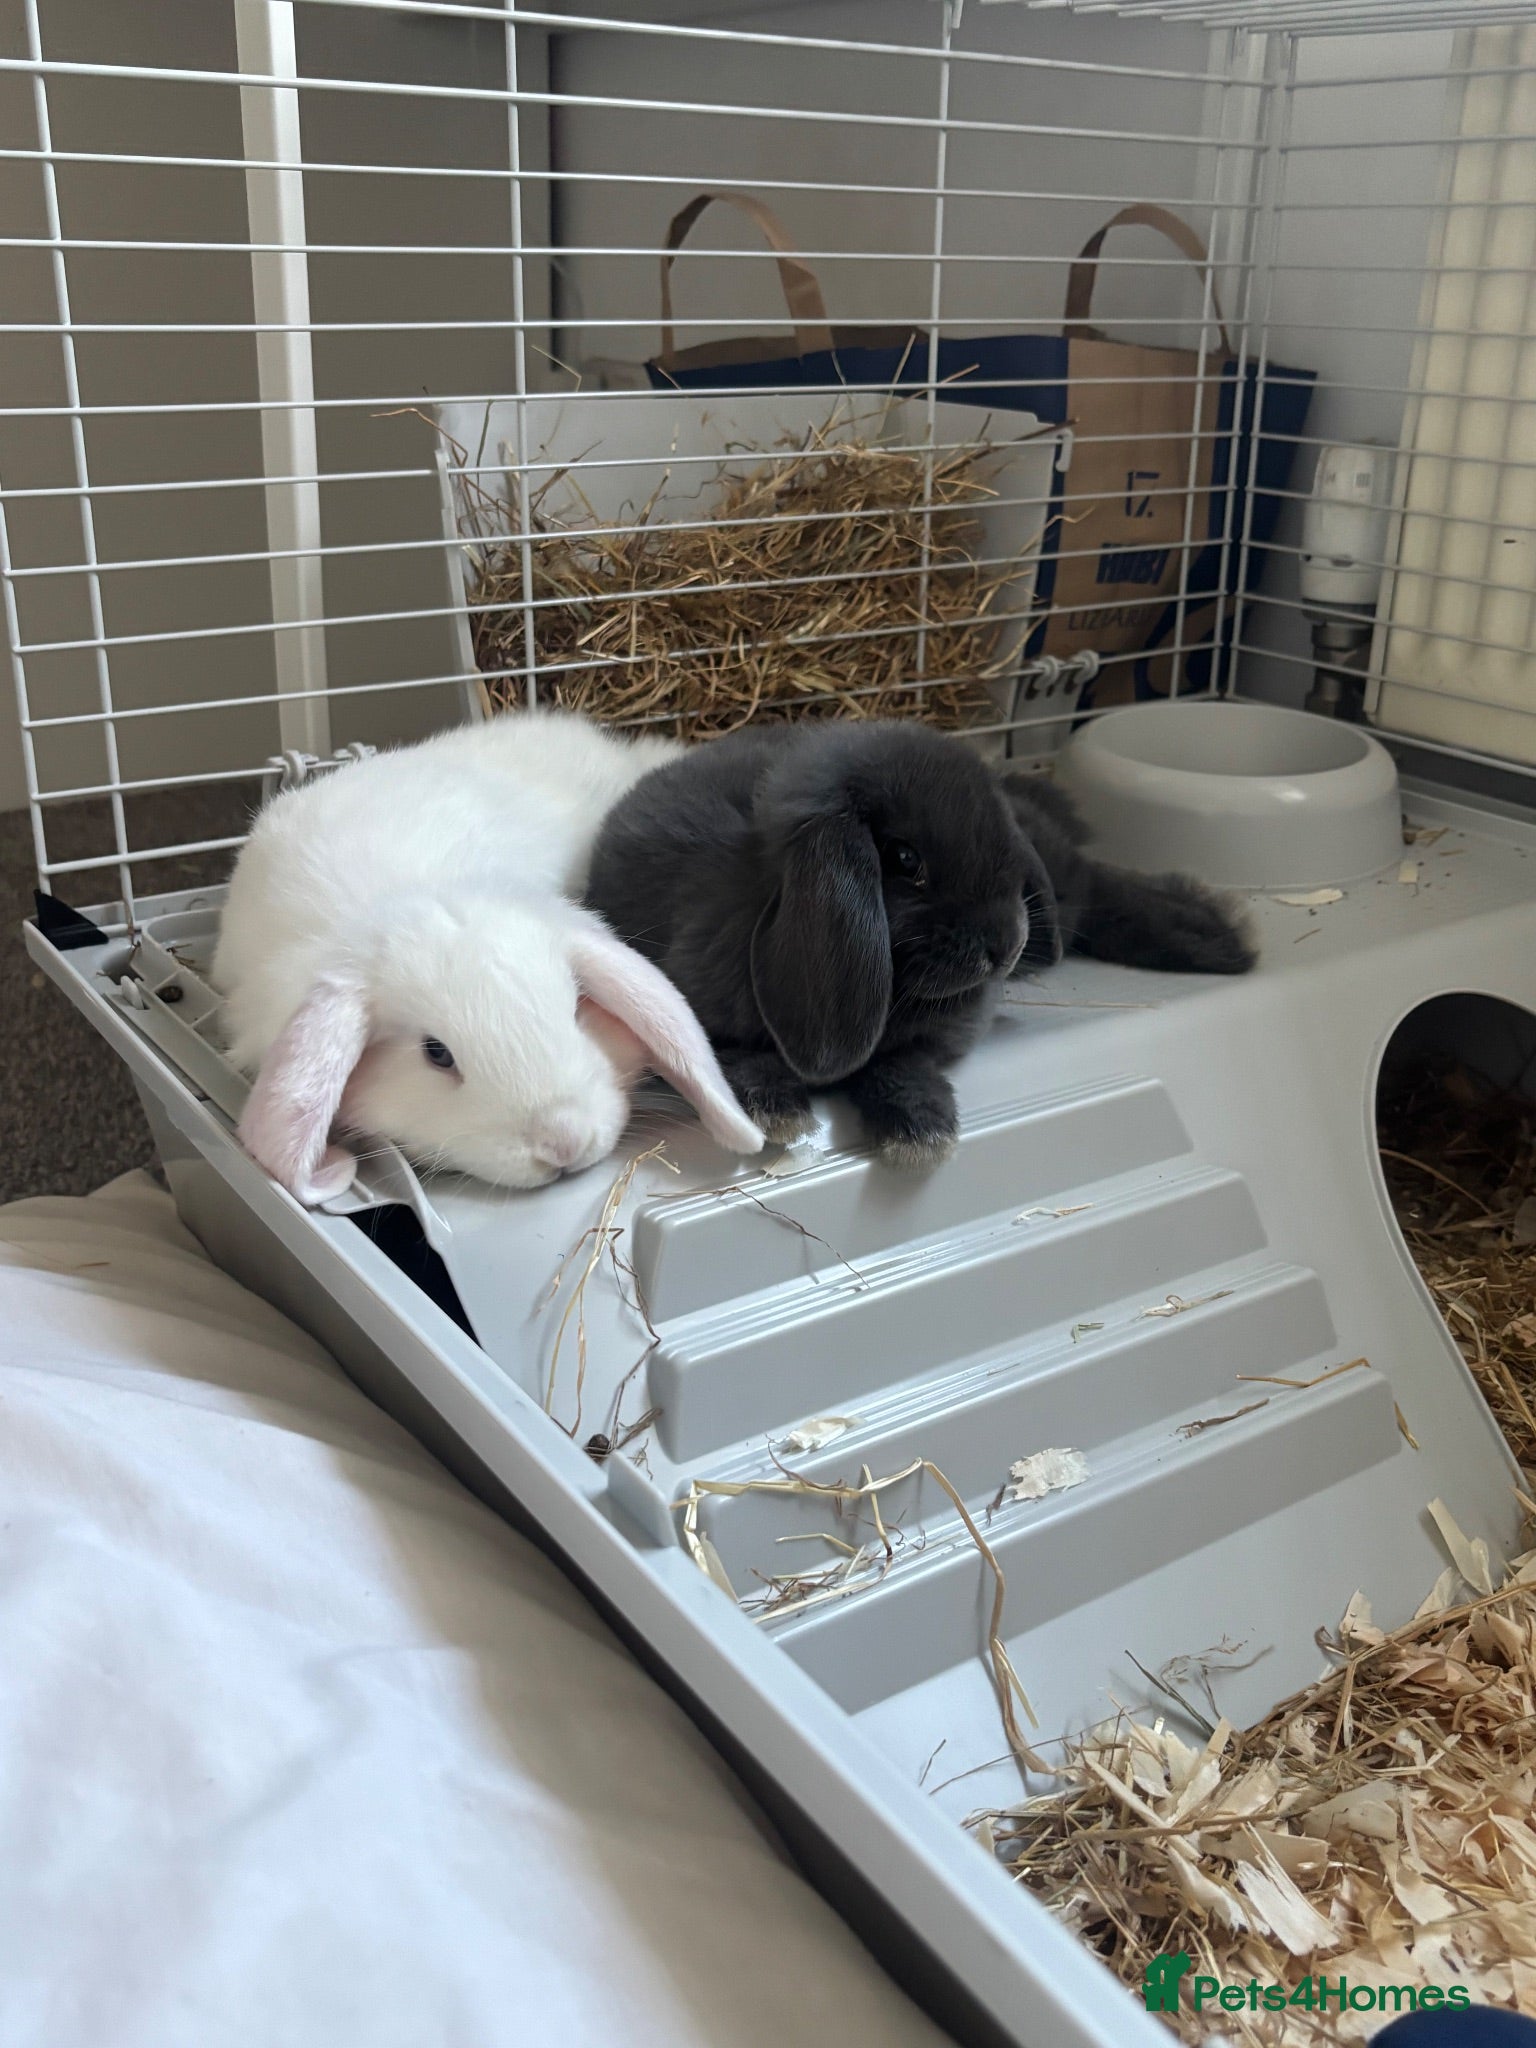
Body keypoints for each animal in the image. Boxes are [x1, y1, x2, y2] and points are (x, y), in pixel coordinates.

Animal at [585, 719, 1255, 1169]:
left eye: (1001, 844)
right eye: (905, 860)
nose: (1006, 945)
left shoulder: (931, 1040)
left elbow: (899, 1064)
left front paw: (920, 1135)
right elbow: (740, 1055)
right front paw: (781, 1114)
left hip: (1064, 887)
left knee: (1097, 883)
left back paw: (1217, 940)